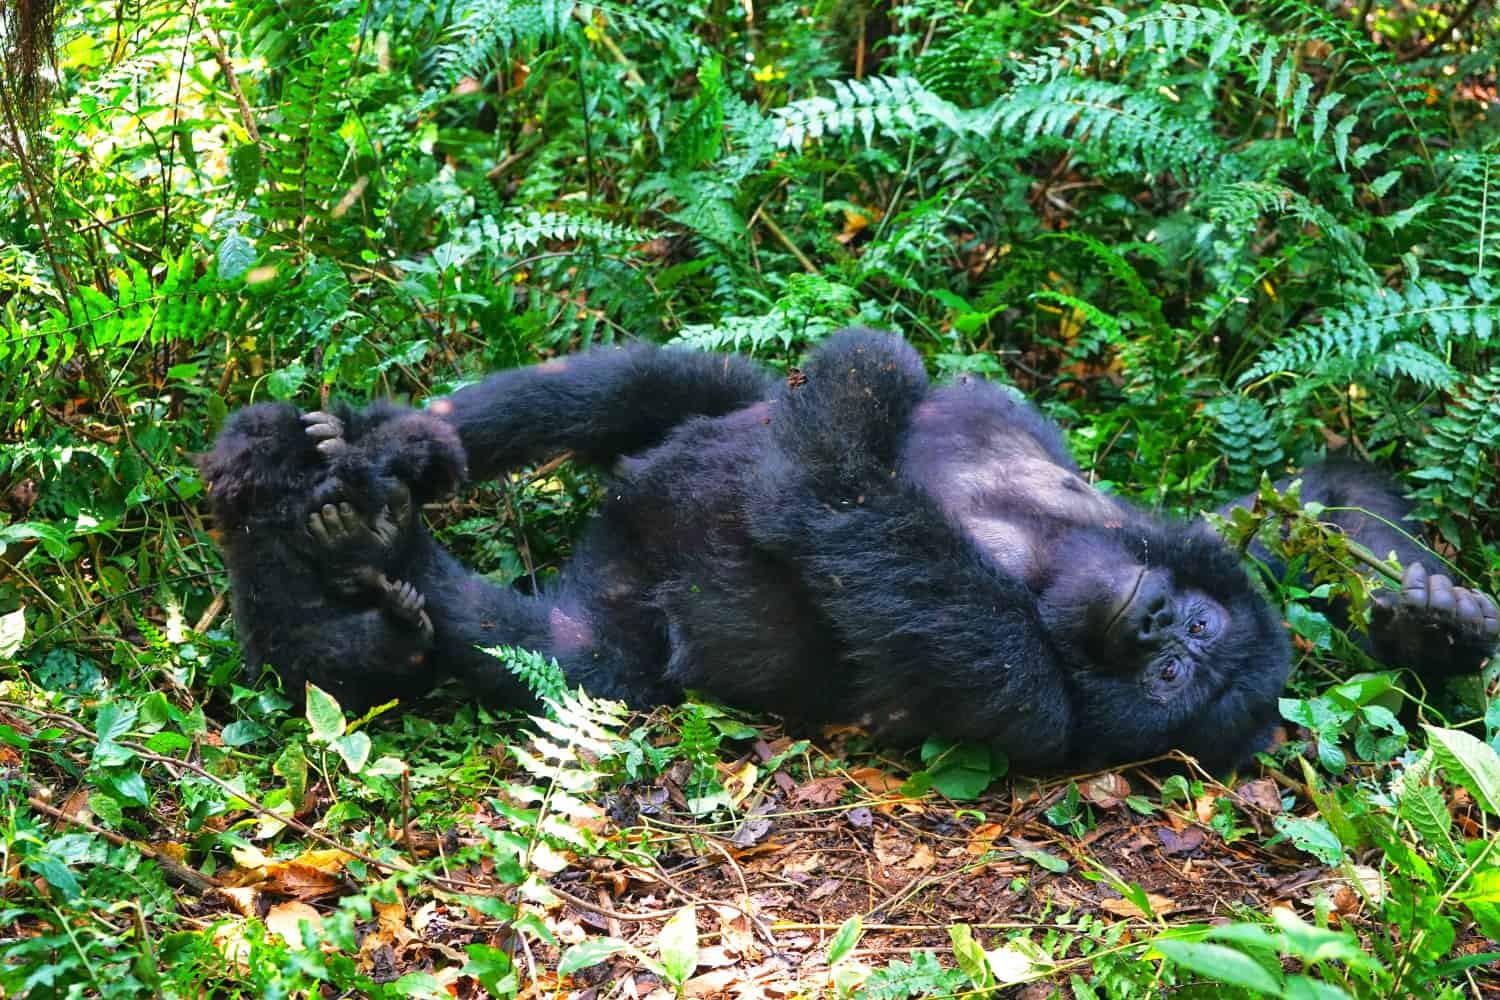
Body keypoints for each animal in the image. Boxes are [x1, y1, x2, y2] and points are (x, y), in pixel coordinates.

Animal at [202, 332, 1500, 773]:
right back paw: (371, 448)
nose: (1152, 627)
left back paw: (330, 606)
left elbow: (834, 502)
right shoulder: (1185, 523)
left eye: (1179, 675)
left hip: (615, 644)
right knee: (652, 384)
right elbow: (1310, 499)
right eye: (1187, 630)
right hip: (676, 421)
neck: (1062, 556)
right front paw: (1436, 612)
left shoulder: (1028, 703)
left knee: (549, 651)